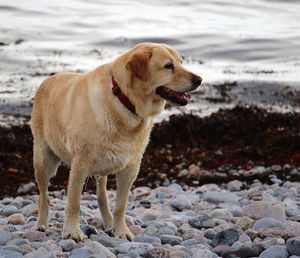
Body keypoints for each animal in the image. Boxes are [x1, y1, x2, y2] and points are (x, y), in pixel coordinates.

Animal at [31, 42, 202, 242]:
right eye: (168, 66)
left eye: (181, 62)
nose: (199, 80)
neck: (123, 99)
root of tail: (48, 79)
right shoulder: (80, 164)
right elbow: (74, 202)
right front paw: (72, 231)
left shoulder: (131, 168)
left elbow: (121, 204)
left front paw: (121, 231)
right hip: (43, 160)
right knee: (44, 197)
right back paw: (41, 225)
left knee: (101, 195)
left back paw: (108, 222)